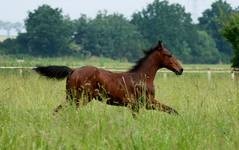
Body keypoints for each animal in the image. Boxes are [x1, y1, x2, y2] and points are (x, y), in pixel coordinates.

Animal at [33, 41, 183, 115]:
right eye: (169, 55)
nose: (180, 69)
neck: (142, 78)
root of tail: (73, 70)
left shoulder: (137, 106)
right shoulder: (147, 103)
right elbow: (172, 111)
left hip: (72, 97)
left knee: (57, 110)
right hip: (80, 98)